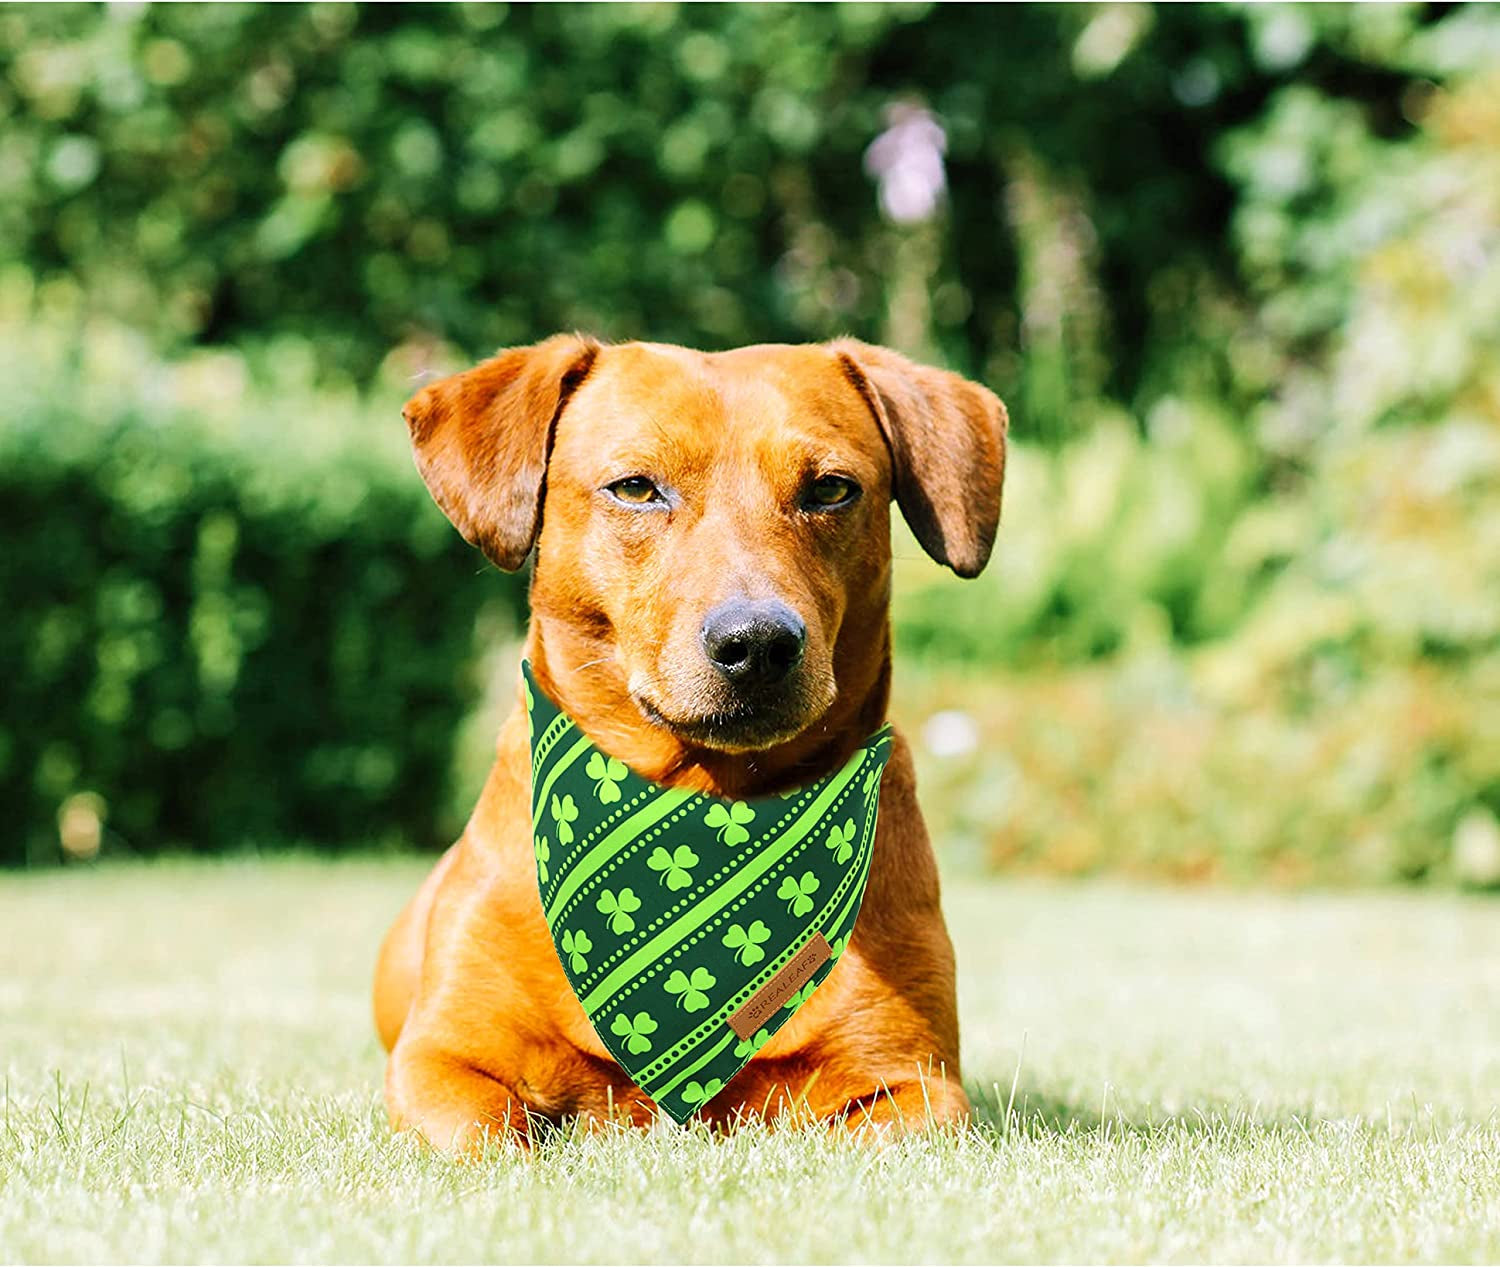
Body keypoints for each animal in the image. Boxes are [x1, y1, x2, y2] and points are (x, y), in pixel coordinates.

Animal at [373, 335, 1008, 1145]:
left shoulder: (915, 1083)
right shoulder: (440, 1061)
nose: (758, 641)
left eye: (832, 489)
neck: (708, 802)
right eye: (636, 488)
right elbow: (490, 1132)